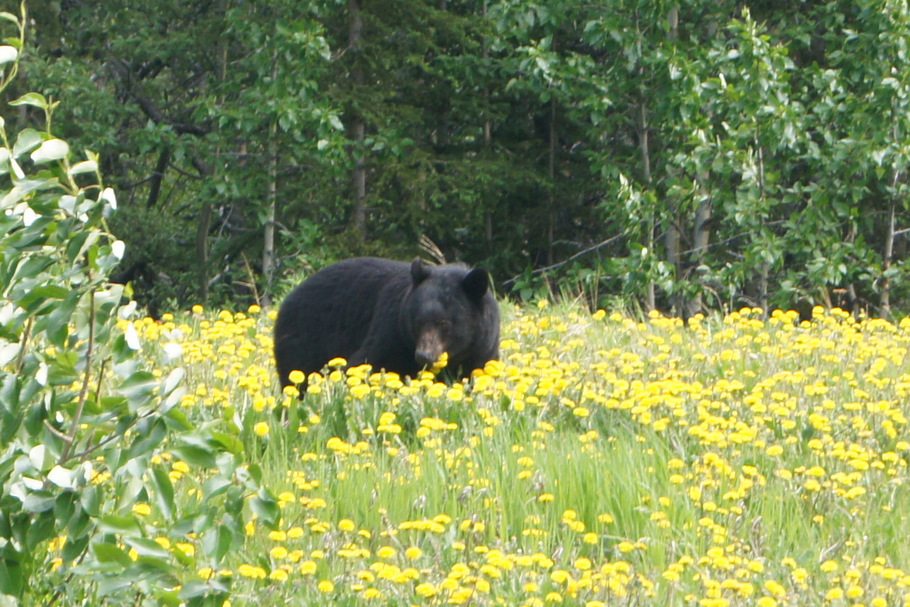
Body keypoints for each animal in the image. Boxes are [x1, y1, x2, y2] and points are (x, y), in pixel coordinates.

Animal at [274, 257, 500, 389]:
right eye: (418, 320)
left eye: (444, 323)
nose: (424, 355)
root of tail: (288, 299)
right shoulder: (393, 331)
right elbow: (364, 363)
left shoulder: (482, 348)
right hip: (303, 342)